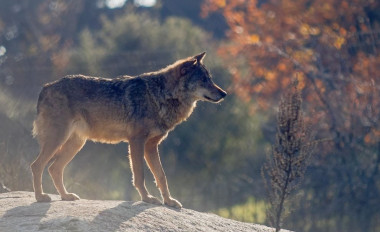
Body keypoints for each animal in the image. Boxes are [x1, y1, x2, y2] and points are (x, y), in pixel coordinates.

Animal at [31, 51, 226, 208]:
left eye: (210, 79)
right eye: (203, 80)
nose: (224, 94)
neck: (159, 95)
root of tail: (45, 87)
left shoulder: (151, 146)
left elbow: (161, 176)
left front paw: (169, 201)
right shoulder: (136, 142)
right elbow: (140, 175)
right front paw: (147, 199)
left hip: (76, 144)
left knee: (54, 168)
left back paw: (65, 196)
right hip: (59, 139)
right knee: (37, 166)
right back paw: (40, 197)